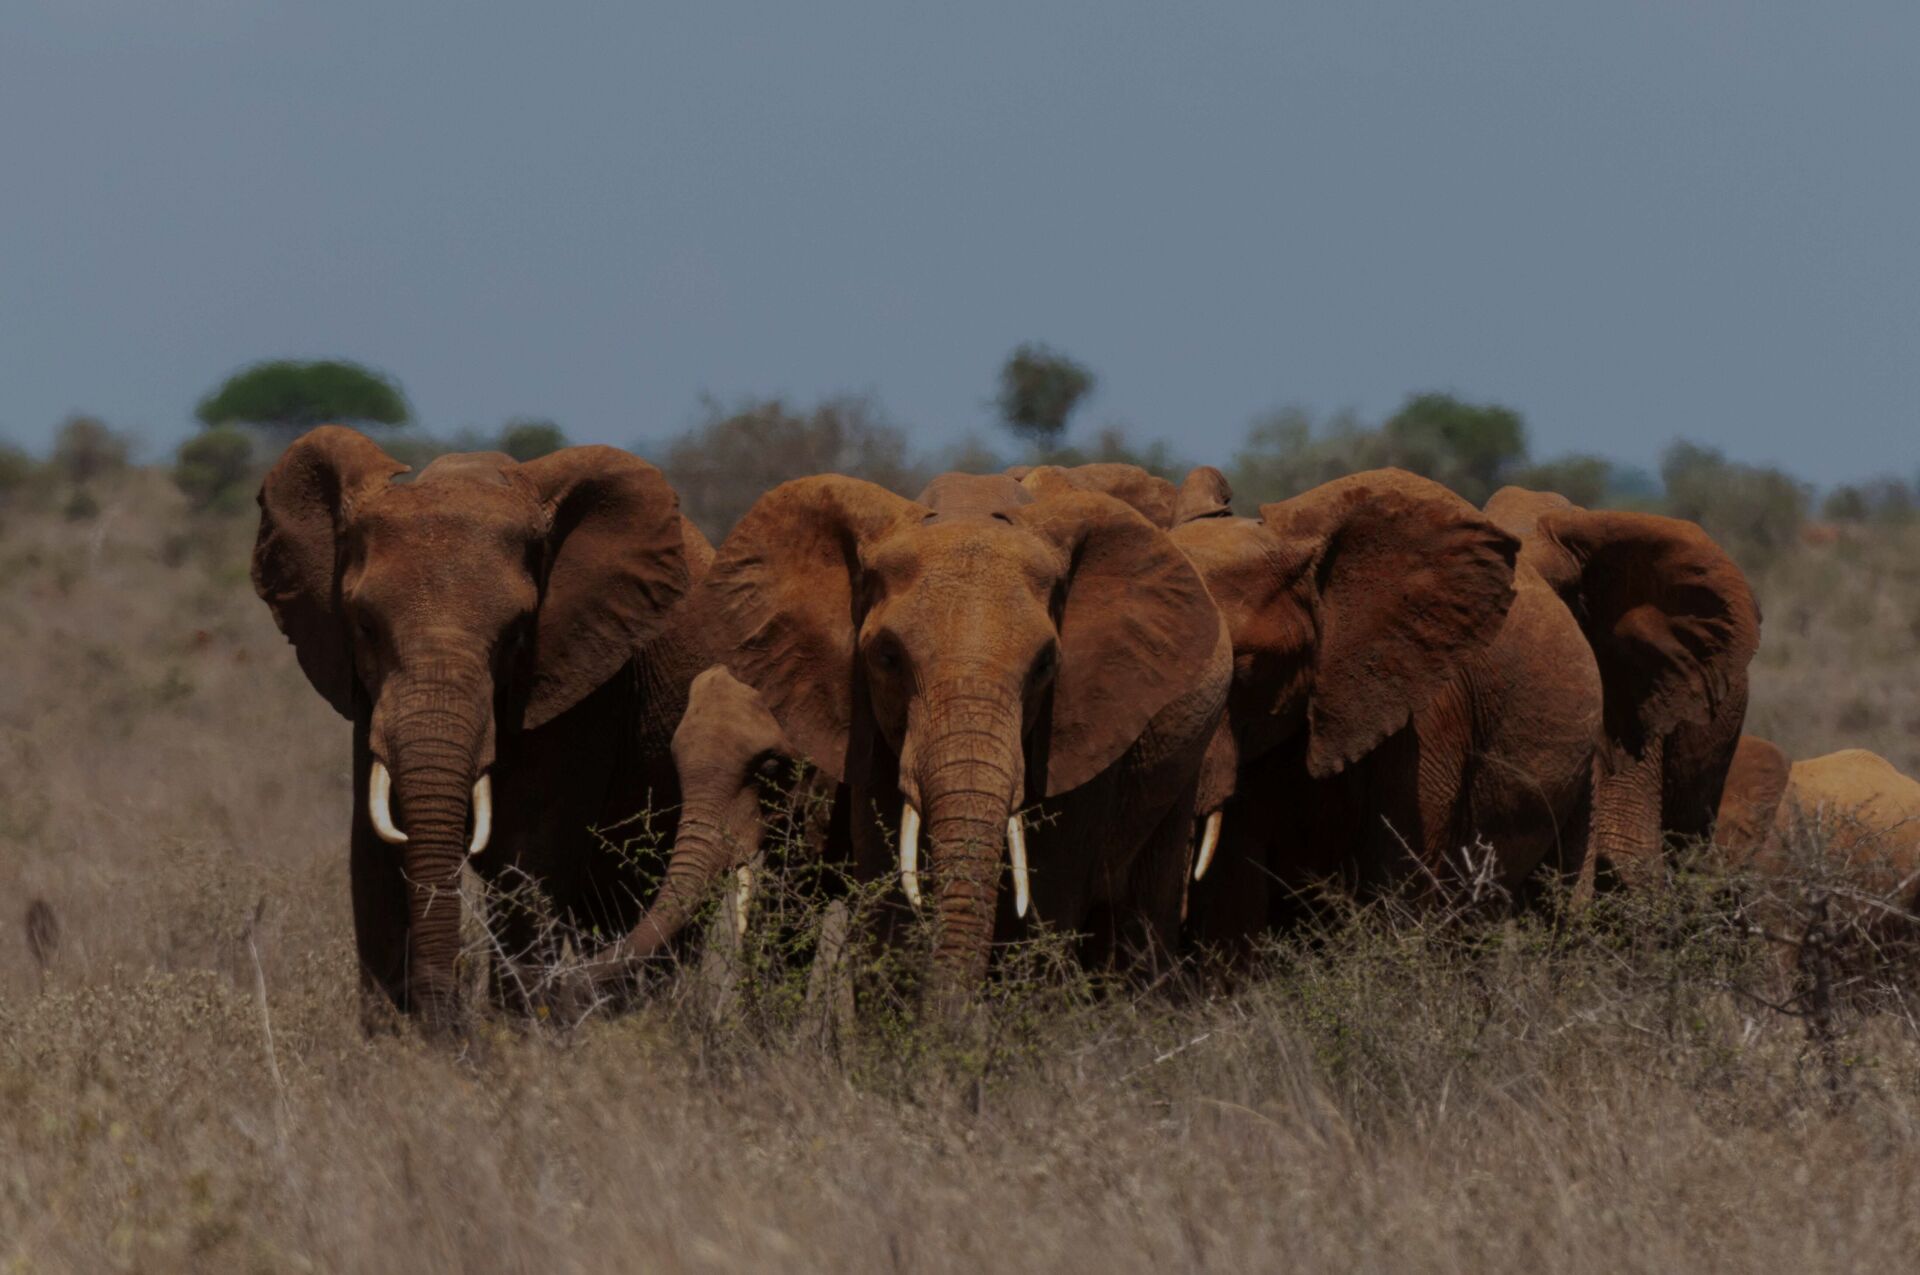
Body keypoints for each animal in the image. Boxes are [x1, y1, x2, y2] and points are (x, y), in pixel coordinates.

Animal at [253, 426, 710, 1031]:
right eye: (365, 626)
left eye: (516, 634)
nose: (446, 1020)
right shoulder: (367, 696)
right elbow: (373, 849)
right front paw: (391, 1043)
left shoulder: (583, 679)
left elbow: (526, 855)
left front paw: (515, 1037)